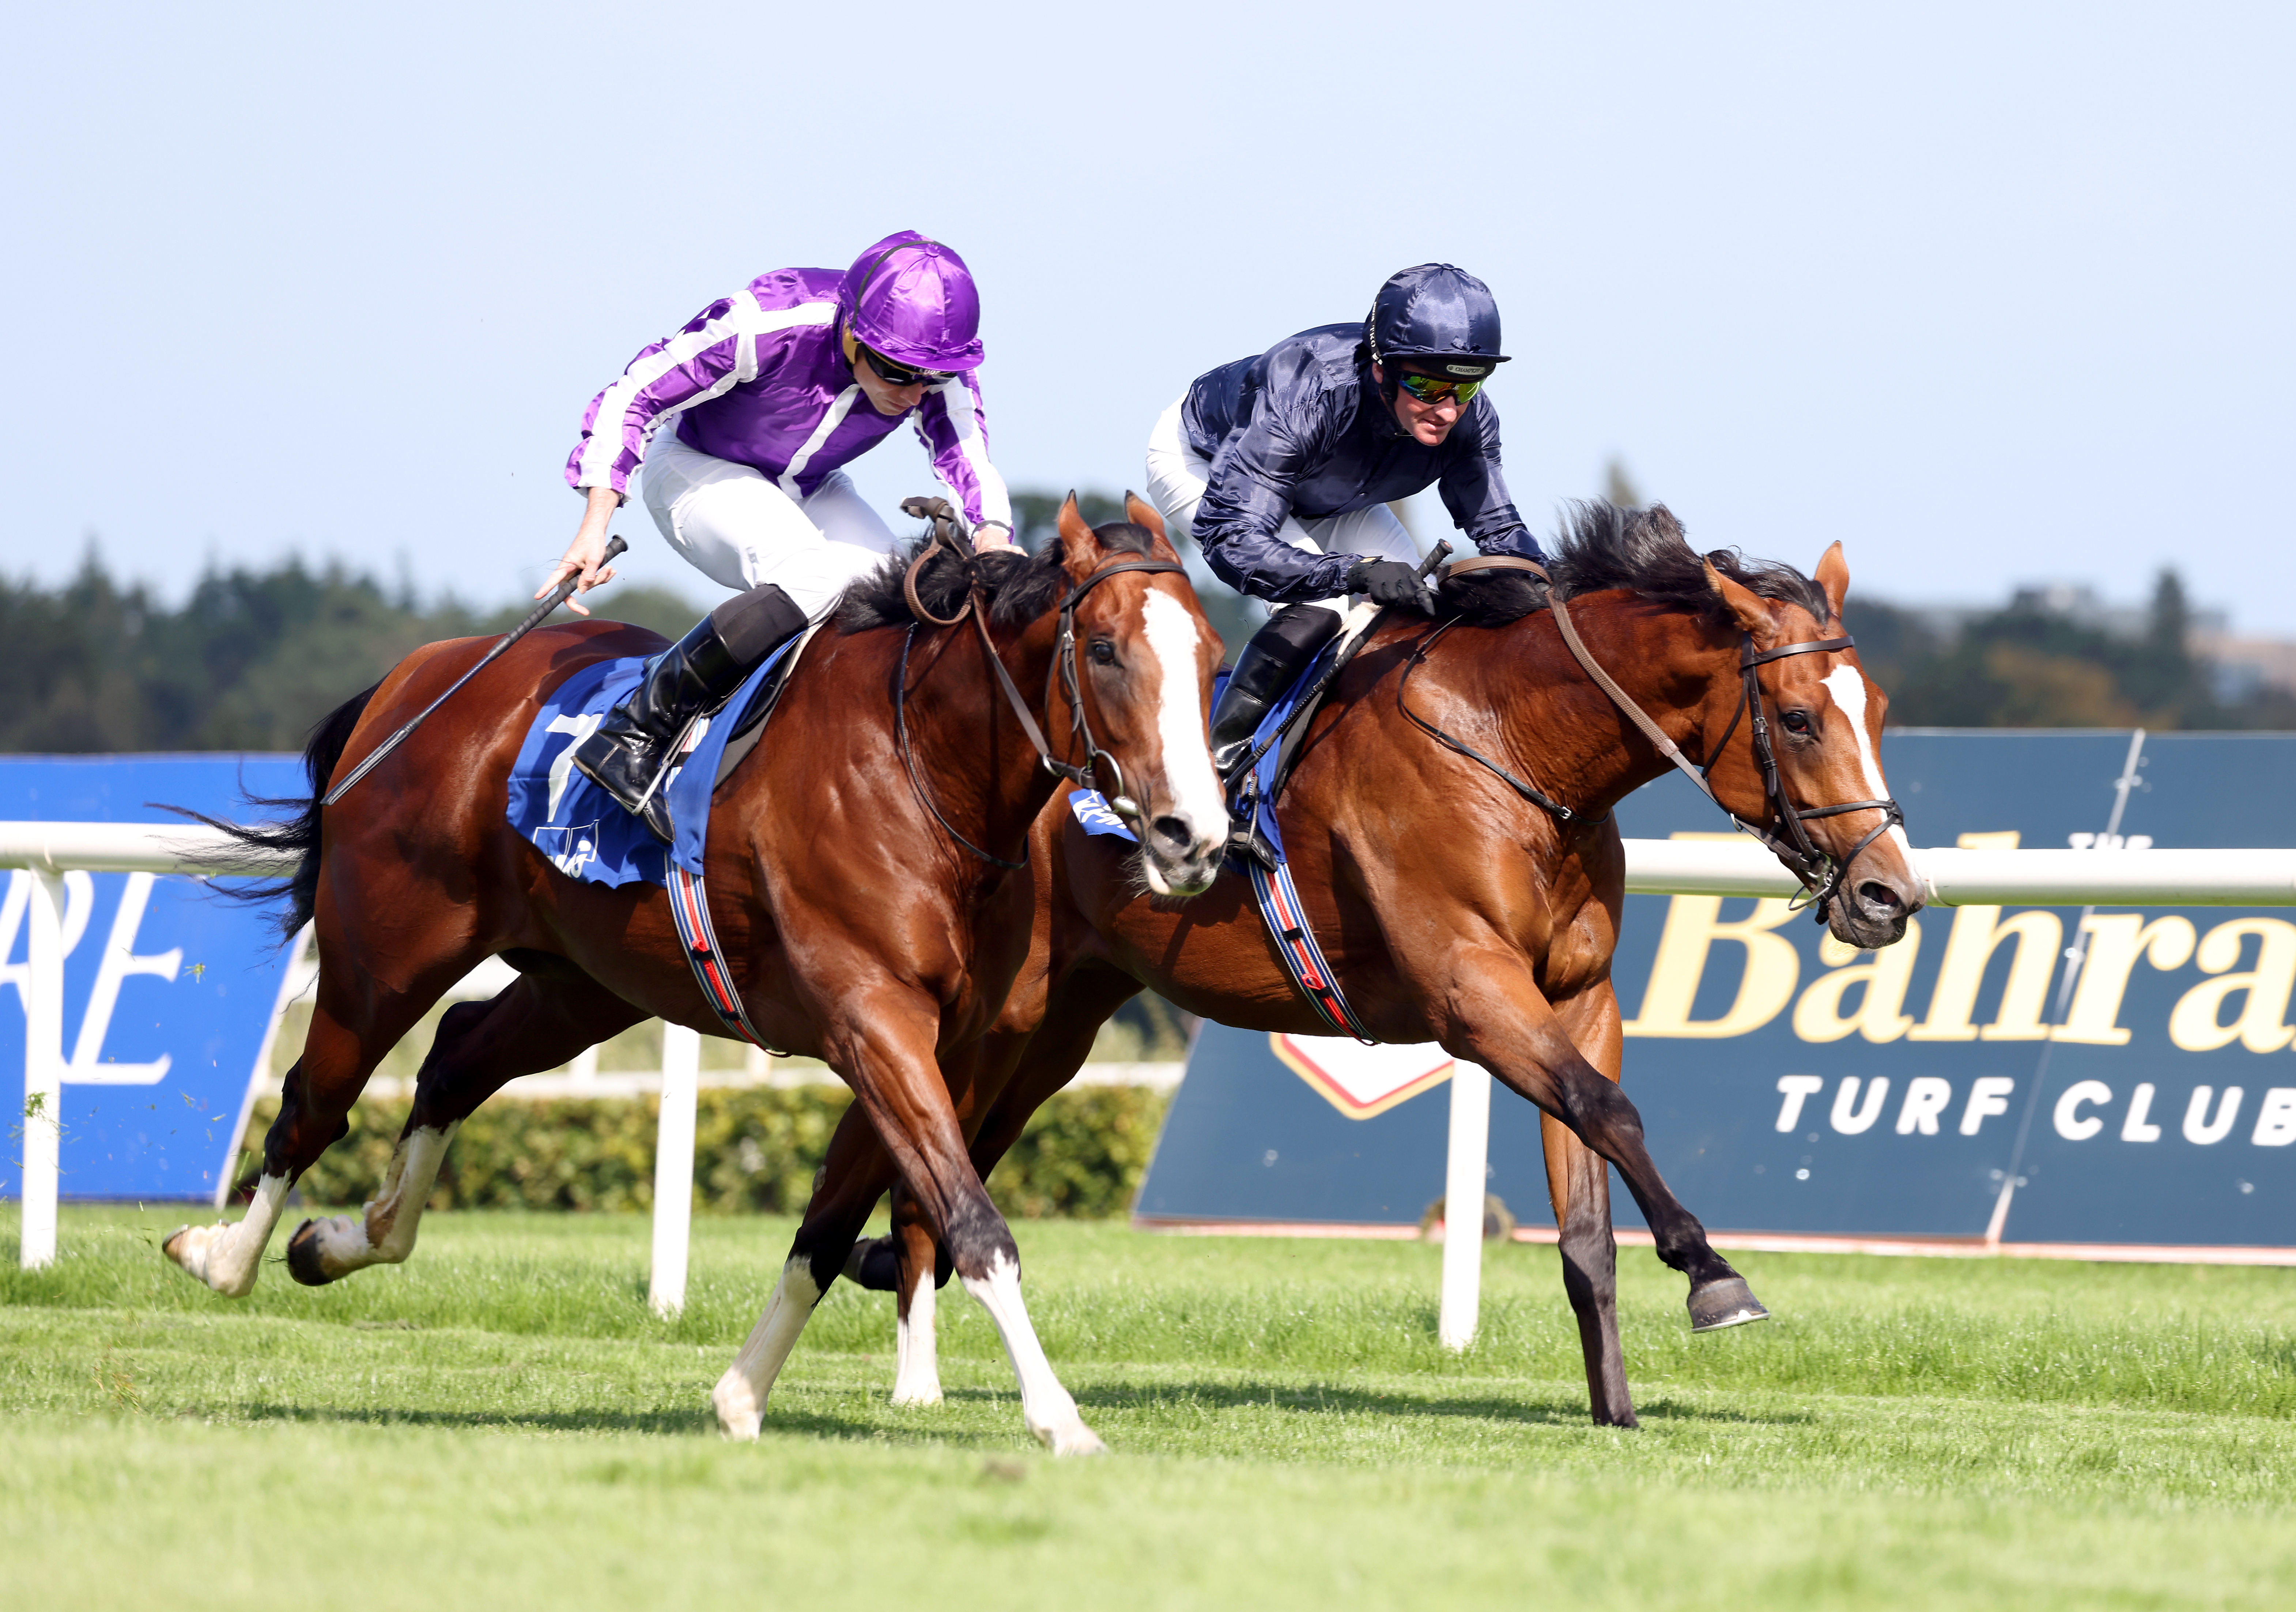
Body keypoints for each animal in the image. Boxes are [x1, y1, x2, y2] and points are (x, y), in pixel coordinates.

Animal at [164, 498, 1231, 1460]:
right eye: (1104, 649)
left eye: (1213, 655)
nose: (1196, 835)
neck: (921, 768)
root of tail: (416, 672)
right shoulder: (874, 1021)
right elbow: (973, 1223)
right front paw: (1059, 1419)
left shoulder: (943, 1043)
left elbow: (829, 1230)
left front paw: (740, 1395)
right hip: (381, 958)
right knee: (316, 1101)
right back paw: (221, 1255)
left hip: (583, 984)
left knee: (456, 1058)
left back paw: (350, 1236)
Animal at [826, 505, 1919, 1423]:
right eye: (1799, 717)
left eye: (1877, 709)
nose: (1890, 894)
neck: (1512, 743)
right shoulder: (1469, 994)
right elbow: (1609, 1111)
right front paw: (1713, 1275)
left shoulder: (1579, 999)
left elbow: (1587, 1216)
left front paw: (1616, 1407)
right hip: (987, 1018)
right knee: (916, 1166)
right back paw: (916, 1382)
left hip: (1057, 1030)